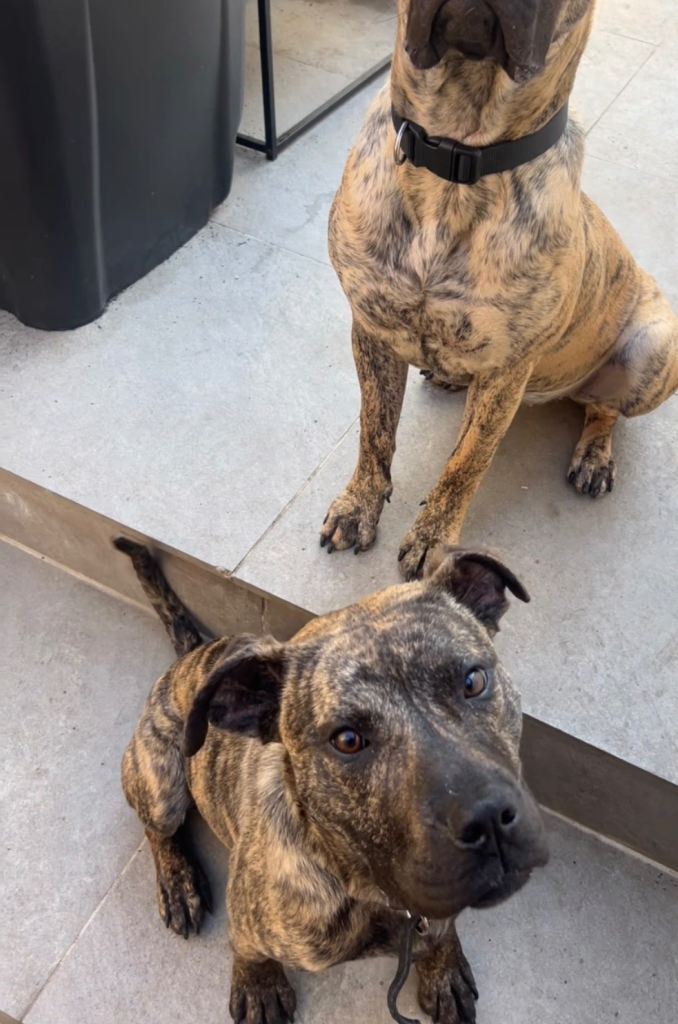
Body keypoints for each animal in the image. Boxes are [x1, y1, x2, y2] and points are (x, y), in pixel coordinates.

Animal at [117, 536, 548, 1024]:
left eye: (473, 681)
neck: (367, 886)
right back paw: (178, 884)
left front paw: (442, 965)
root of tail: (194, 655)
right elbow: (248, 950)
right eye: (347, 740)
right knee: (157, 829)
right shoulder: (249, 918)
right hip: (162, 786)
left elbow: (441, 930)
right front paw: (259, 985)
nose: (489, 819)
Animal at [321, 0, 678, 580]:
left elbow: (467, 460)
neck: (456, 159)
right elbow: (374, 430)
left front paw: (434, 539)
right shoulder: (372, 329)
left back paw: (594, 455)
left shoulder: (507, 369)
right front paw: (359, 505)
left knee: (604, 409)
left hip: (654, 346)